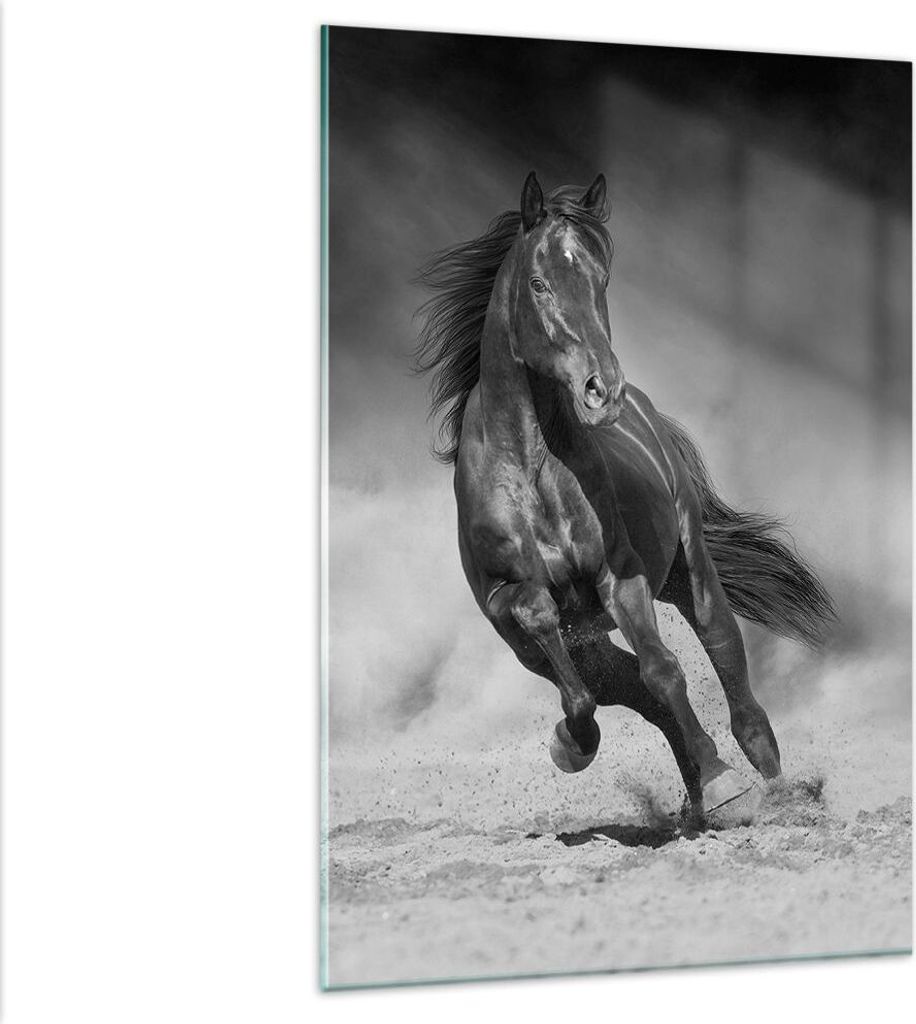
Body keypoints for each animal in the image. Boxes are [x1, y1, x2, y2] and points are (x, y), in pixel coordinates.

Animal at [415, 172, 835, 814]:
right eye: (539, 283)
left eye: (600, 279)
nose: (601, 389)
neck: (533, 469)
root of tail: (645, 407)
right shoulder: (510, 612)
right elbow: (573, 663)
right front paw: (572, 744)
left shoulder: (620, 576)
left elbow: (664, 670)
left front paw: (723, 781)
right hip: (577, 643)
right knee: (627, 689)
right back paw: (690, 791)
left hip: (690, 572)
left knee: (722, 652)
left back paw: (768, 782)